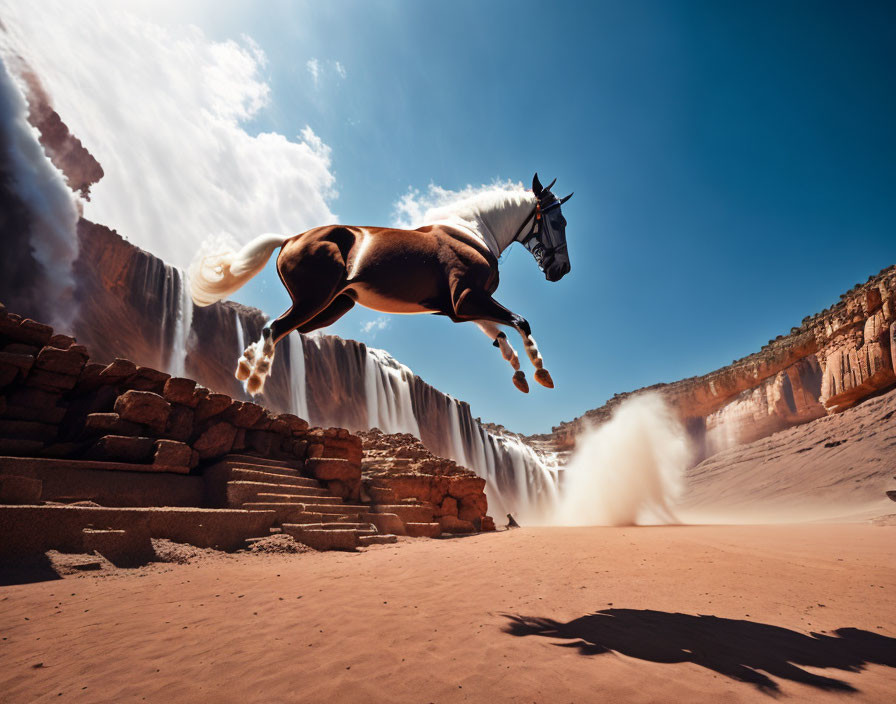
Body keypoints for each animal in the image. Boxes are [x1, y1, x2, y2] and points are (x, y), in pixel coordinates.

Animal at [189, 173, 576, 396]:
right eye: (558, 221)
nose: (561, 270)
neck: (472, 232)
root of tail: (289, 239)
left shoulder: (460, 309)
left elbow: (499, 334)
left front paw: (520, 374)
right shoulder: (465, 299)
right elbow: (520, 321)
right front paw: (540, 371)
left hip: (331, 307)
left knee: (280, 328)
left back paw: (245, 364)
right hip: (314, 301)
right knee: (276, 327)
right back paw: (254, 380)